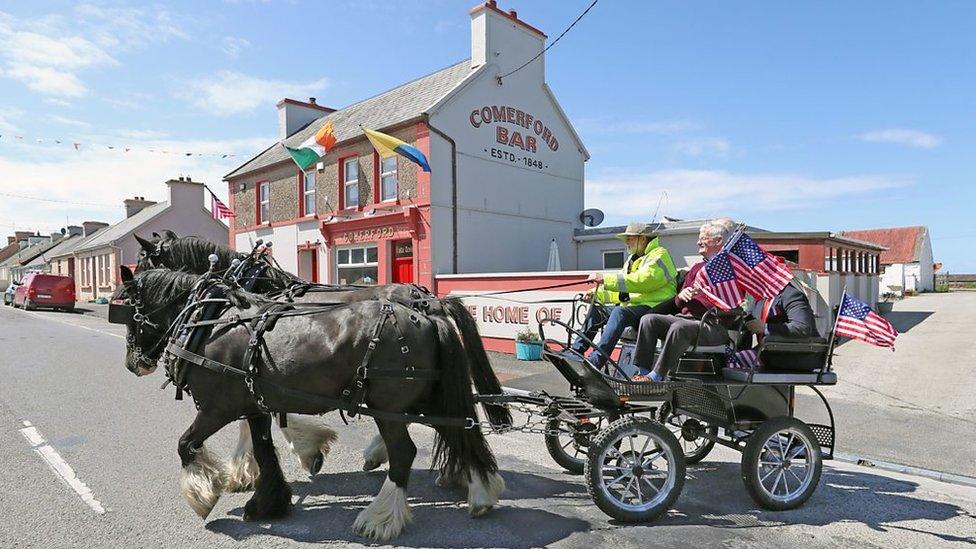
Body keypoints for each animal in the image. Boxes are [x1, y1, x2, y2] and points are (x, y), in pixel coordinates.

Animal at [116, 266, 504, 540]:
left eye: (129, 311)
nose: (133, 363)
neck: (208, 321)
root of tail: (428, 312)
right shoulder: (255, 400)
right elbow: (264, 449)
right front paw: (268, 499)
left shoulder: (216, 408)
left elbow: (186, 444)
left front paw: (203, 494)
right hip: (432, 396)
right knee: (460, 431)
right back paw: (481, 491)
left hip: (391, 407)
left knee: (406, 452)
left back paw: (379, 517)